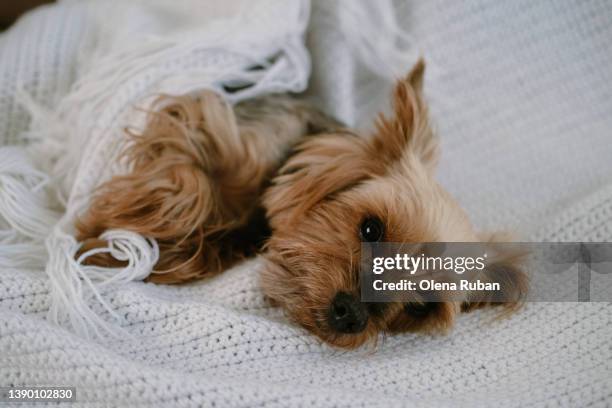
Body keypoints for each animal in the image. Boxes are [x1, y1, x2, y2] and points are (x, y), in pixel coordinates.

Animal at [76, 60, 524, 348]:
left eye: (419, 307)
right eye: (371, 227)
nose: (352, 315)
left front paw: (157, 252)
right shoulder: (201, 121)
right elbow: (192, 184)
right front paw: (108, 240)